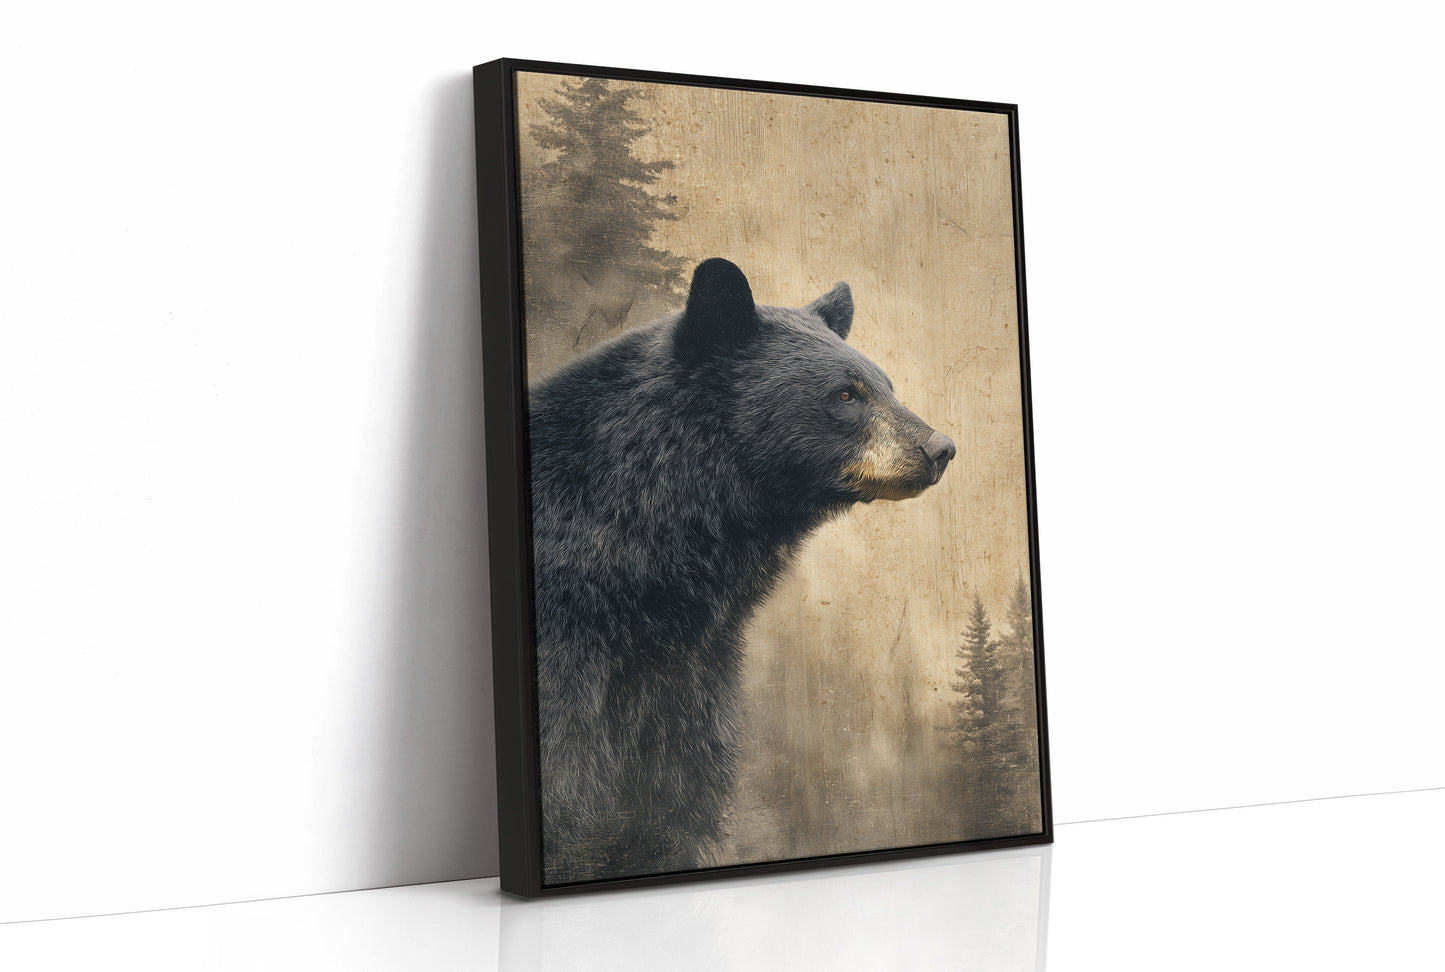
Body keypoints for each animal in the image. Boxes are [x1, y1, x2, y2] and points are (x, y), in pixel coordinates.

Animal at [526, 258, 956, 885]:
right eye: (845, 393)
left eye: (888, 385)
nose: (940, 448)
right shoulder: (567, 670)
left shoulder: (685, 686)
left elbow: (666, 811)